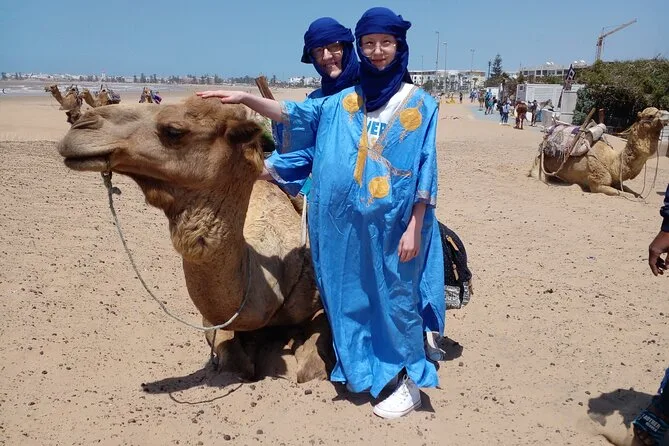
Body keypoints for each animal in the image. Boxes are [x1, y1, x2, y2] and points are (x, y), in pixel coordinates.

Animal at [57, 97, 333, 382]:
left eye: (173, 131)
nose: (82, 126)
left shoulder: (317, 303)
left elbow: (312, 368)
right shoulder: (212, 320)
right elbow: (233, 363)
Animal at [529, 107, 669, 196]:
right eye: (651, 115)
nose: (667, 115)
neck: (613, 163)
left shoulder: (617, 181)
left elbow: (632, 192)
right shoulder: (598, 184)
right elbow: (622, 194)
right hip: (539, 162)